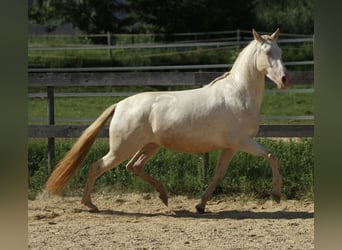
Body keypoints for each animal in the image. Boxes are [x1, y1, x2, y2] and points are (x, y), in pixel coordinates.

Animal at [46, 28, 290, 213]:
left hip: (149, 146)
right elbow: (272, 155)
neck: (237, 94)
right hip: (122, 148)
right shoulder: (241, 141)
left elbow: (218, 175)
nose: (285, 79)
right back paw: (90, 205)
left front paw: (201, 205)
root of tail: (120, 105)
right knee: (97, 166)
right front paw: (276, 194)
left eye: (280, 51)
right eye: (268, 52)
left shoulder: (230, 146)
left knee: (133, 166)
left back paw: (163, 196)